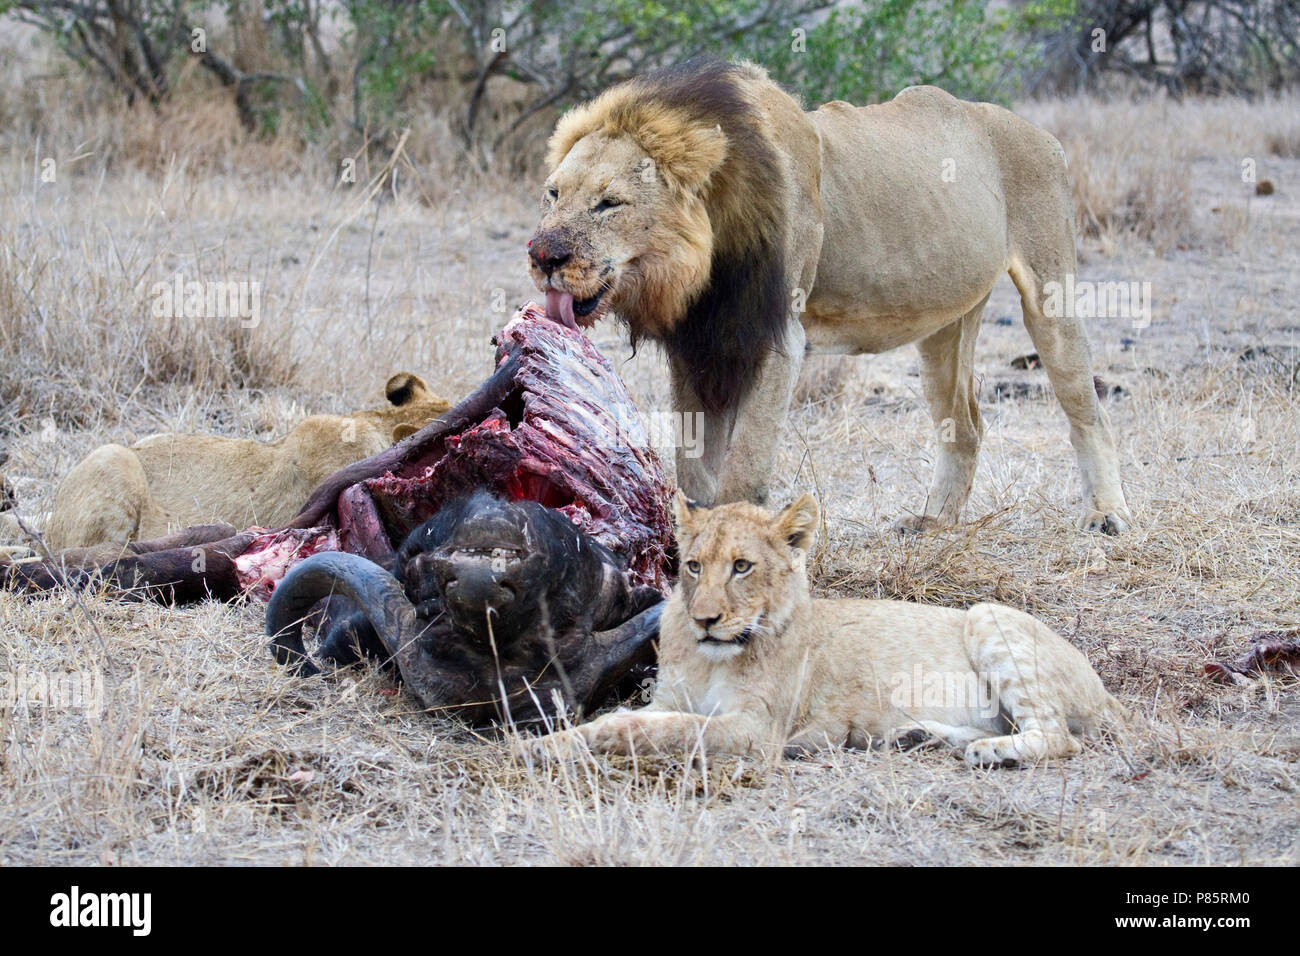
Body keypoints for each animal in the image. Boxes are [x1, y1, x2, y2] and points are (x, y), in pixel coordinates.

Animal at [528, 58, 1132, 534]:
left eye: (609, 203)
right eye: (553, 194)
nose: (542, 256)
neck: (702, 260)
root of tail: (1039, 132)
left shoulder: (776, 339)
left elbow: (742, 471)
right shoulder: (699, 347)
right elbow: (695, 470)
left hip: (1051, 296)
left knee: (1089, 412)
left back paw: (1106, 514)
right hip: (946, 325)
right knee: (964, 426)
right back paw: (933, 521)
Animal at [536, 492, 1122, 766]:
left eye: (742, 567)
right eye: (694, 566)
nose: (704, 619)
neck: (709, 659)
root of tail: (1105, 690)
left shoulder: (757, 730)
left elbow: (647, 729)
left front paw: (541, 750)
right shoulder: (669, 698)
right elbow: (623, 718)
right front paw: (548, 743)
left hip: (986, 614)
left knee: (1060, 737)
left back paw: (993, 754)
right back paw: (915, 737)